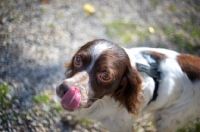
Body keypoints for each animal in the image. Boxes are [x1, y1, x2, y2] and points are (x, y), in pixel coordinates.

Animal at [55, 39, 200, 132]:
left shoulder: (121, 127)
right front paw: (72, 119)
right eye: (78, 59)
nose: (64, 89)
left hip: (168, 118)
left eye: (105, 76)